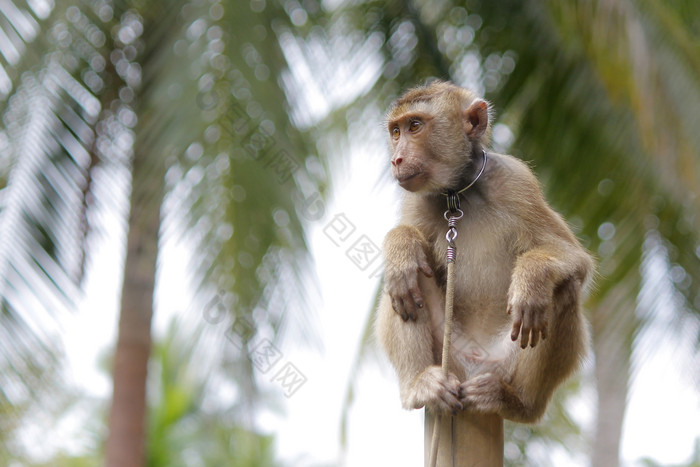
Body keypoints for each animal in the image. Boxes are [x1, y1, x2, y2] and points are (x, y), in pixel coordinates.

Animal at [374, 80, 592, 424]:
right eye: (395, 132)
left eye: (415, 126)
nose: (396, 159)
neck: (458, 194)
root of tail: (473, 367)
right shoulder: (417, 200)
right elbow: (409, 247)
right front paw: (401, 245)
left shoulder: (515, 180)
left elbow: (571, 256)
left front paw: (531, 281)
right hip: (448, 356)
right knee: (403, 284)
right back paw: (419, 384)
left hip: (504, 360)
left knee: (563, 287)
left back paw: (517, 401)